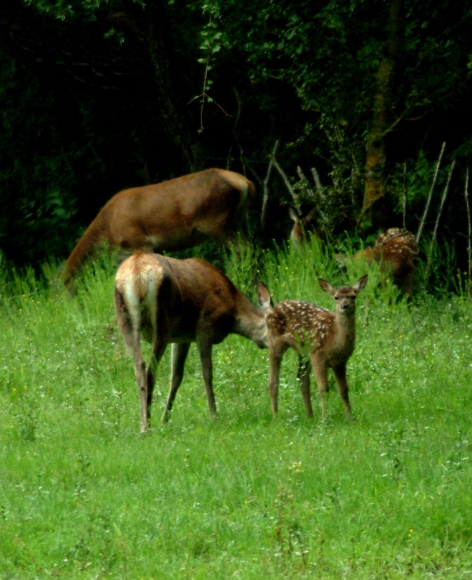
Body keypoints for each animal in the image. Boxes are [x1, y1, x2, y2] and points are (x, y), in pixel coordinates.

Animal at [62, 169, 256, 290]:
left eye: (63, 289)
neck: (109, 233)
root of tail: (246, 183)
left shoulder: (140, 242)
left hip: (216, 221)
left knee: (241, 249)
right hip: (237, 220)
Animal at [114, 251, 268, 432]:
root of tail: (137, 273)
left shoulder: (183, 337)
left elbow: (176, 376)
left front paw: (165, 418)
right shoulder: (204, 328)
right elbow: (207, 373)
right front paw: (214, 415)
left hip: (126, 320)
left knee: (140, 365)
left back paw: (143, 424)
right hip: (163, 321)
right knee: (150, 371)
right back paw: (147, 425)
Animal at [256, 276, 366, 422]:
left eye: (353, 296)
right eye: (336, 297)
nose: (345, 305)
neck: (334, 339)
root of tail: (271, 309)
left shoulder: (341, 362)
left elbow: (344, 389)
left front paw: (350, 417)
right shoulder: (318, 355)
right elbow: (324, 388)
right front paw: (324, 419)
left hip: (304, 352)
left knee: (302, 378)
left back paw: (310, 415)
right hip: (275, 343)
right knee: (273, 382)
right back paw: (275, 416)